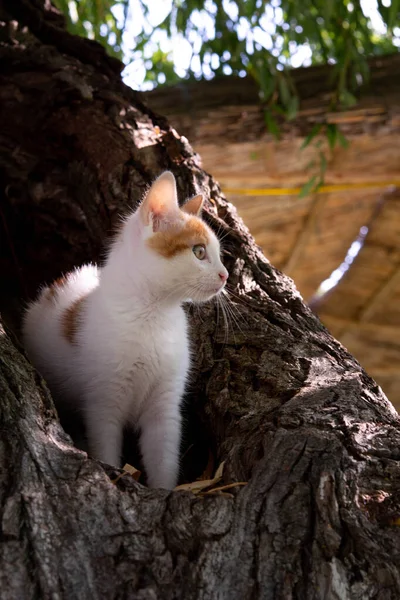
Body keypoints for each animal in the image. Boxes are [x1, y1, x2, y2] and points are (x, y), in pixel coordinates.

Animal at [22, 171, 228, 490]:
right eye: (199, 251)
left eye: (218, 255)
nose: (225, 275)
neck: (154, 315)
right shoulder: (103, 402)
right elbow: (105, 444)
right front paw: (110, 474)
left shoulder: (164, 405)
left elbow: (163, 455)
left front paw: (164, 490)